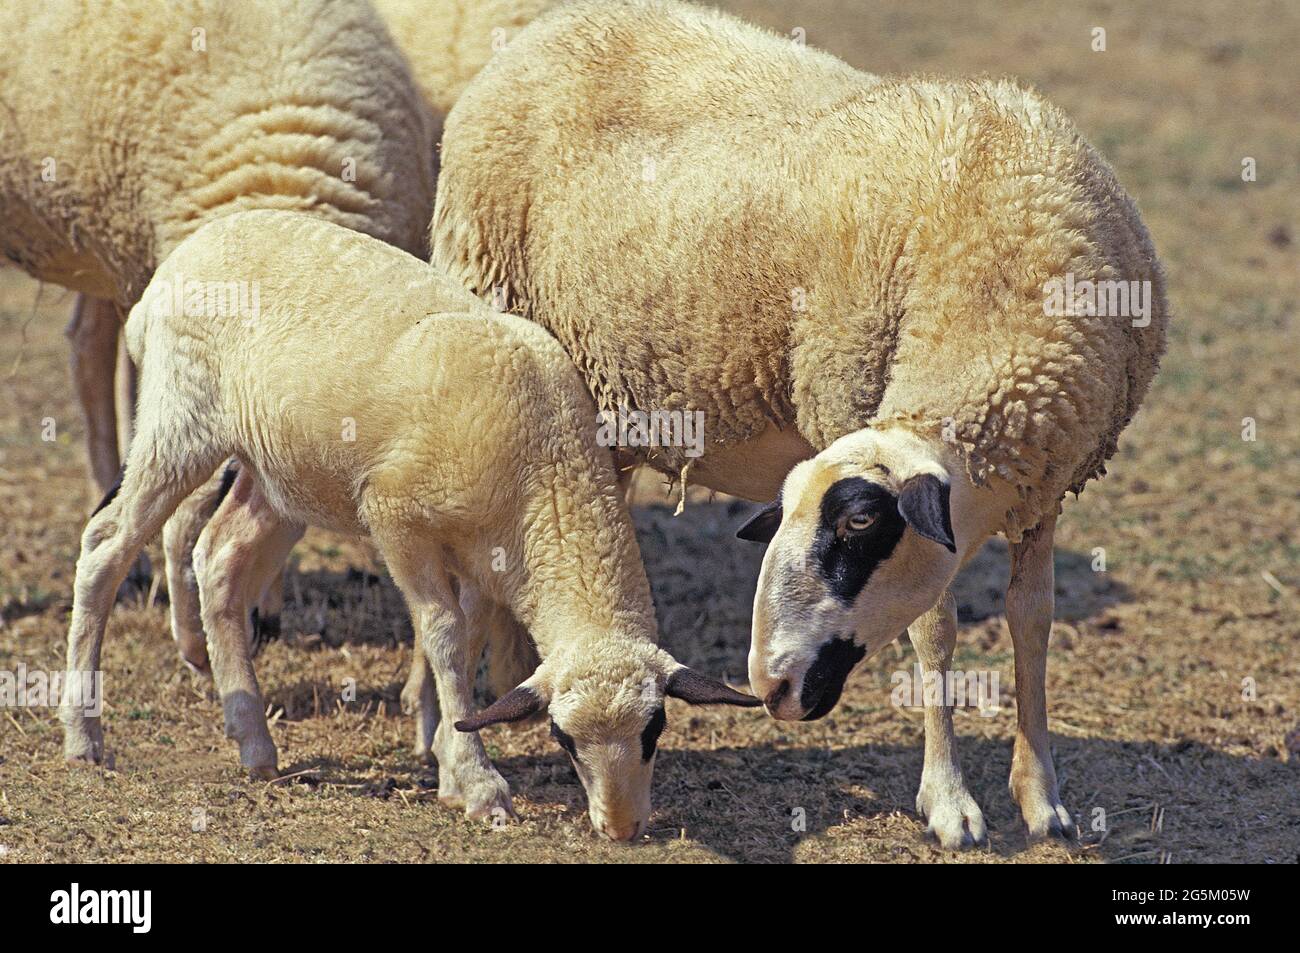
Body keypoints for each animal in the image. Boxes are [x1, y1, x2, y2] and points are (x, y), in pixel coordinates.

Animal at [61, 210, 759, 842]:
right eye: (562, 738)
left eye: (655, 729)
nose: (622, 829)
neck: (549, 475)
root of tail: (180, 259)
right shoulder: (395, 517)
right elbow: (445, 634)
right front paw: (478, 784)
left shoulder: (483, 556)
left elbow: (470, 638)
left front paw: (449, 757)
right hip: (180, 420)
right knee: (107, 545)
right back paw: (84, 736)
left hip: (284, 471)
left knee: (221, 557)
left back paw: (252, 740)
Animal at [426, 0, 1170, 847]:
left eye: (856, 524)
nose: (770, 682)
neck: (995, 288)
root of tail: (543, 34)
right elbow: (936, 629)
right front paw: (949, 802)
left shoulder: (1045, 484)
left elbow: (1031, 622)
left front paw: (1042, 795)